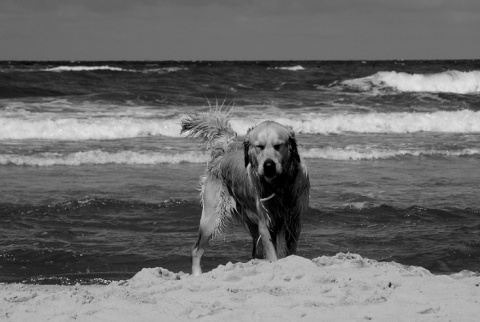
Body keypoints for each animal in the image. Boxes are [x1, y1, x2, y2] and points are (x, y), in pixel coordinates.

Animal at [181, 108, 312, 274]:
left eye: (278, 145)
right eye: (259, 146)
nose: (269, 166)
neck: (278, 186)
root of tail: (221, 157)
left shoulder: (293, 221)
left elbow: (289, 252)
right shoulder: (265, 223)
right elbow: (273, 254)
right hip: (212, 218)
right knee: (195, 250)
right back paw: (197, 274)